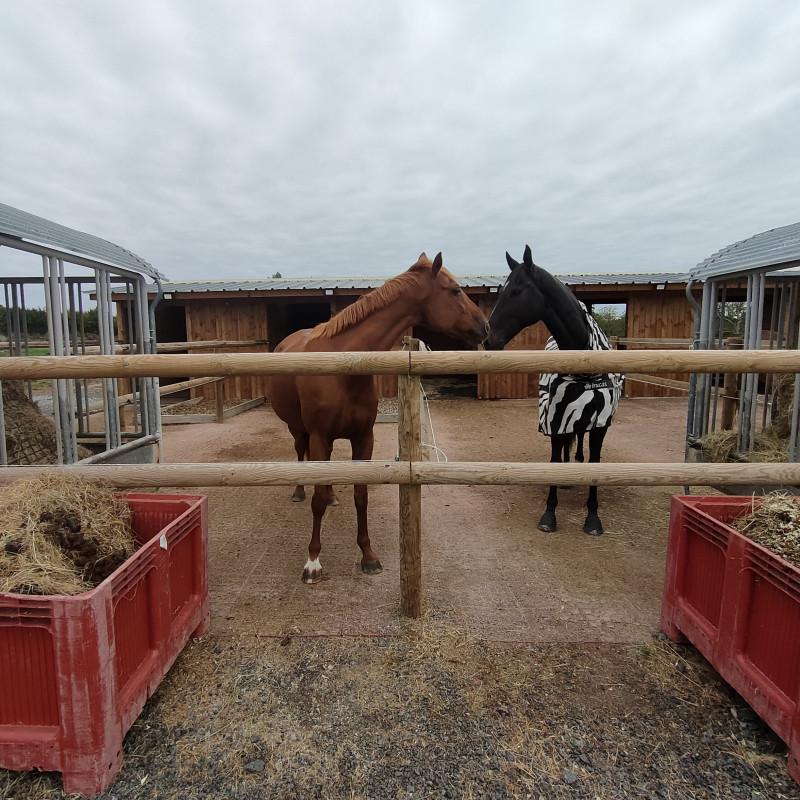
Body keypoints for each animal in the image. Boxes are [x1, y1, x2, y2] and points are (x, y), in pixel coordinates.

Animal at [268, 253, 488, 584]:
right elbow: (316, 501)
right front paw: (313, 562)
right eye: (455, 291)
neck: (344, 365)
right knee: (300, 454)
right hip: (299, 429)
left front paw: (368, 556)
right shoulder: (319, 435)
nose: (485, 326)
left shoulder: (363, 439)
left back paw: (332, 495)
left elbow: (361, 496)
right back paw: (298, 491)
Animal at [484, 245, 620, 536]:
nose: (488, 339)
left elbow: (595, 464)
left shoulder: (601, 424)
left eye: (516, 291)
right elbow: (555, 461)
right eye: (500, 290)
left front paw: (593, 518)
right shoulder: (556, 419)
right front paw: (549, 514)